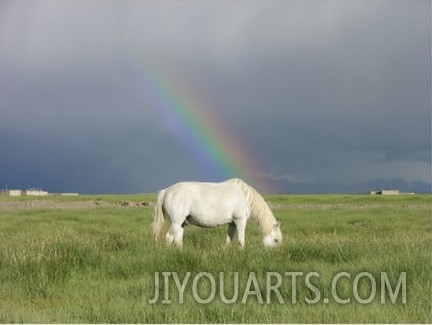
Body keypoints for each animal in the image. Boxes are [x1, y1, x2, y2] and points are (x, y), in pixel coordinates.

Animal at [153, 178, 284, 247]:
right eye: (276, 240)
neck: (244, 196)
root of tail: (165, 191)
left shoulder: (232, 223)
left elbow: (228, 240)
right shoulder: (240, 221)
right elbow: (241, 241)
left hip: (181, 224)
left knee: (178, 240)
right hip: (176, 222)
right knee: (169, 237)